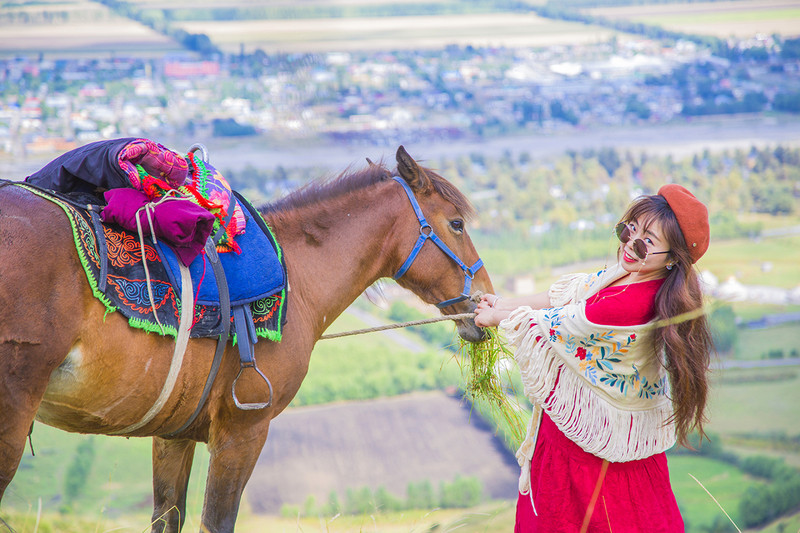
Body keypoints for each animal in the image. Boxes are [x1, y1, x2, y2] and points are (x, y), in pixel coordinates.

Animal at [0, 145, 494, 532]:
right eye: (456, 224)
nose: (486, 301)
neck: (298, 277)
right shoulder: (242, 432)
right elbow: (217, 521)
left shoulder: (173, 434)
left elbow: (168, 517)